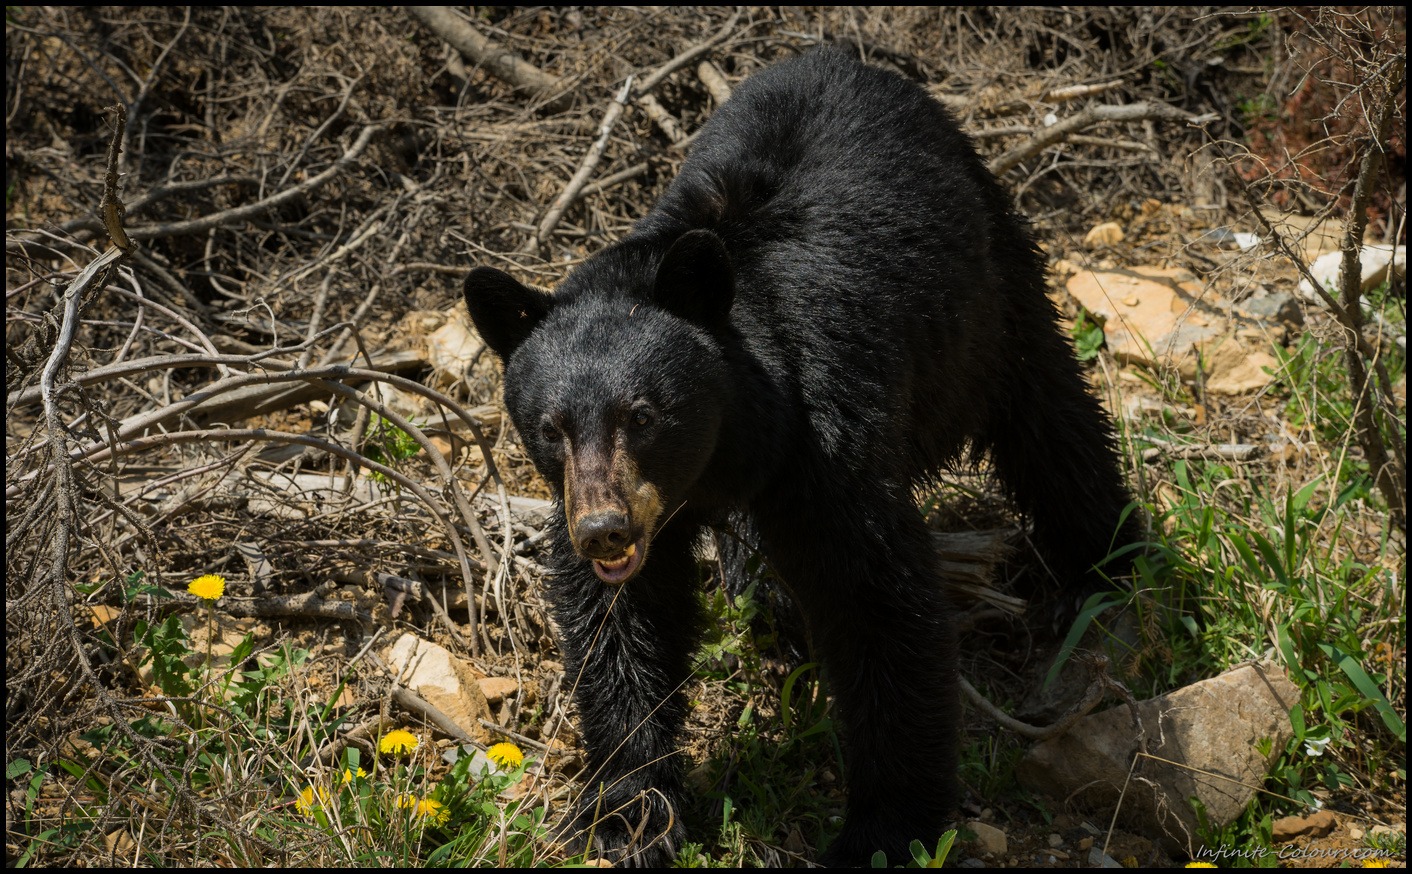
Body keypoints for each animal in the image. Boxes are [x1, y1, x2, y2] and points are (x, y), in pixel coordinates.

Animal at [463, 51, 1135, 869]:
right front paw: (629, 809)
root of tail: (850, 58)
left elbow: (877, 600)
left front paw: (885, 829)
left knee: (1046, 411)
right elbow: (620, 622)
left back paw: (1103, 565)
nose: (603, 531)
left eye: (643, 415)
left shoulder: (826, 447)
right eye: (551, 427)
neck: (736, 442)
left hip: (988, 281)